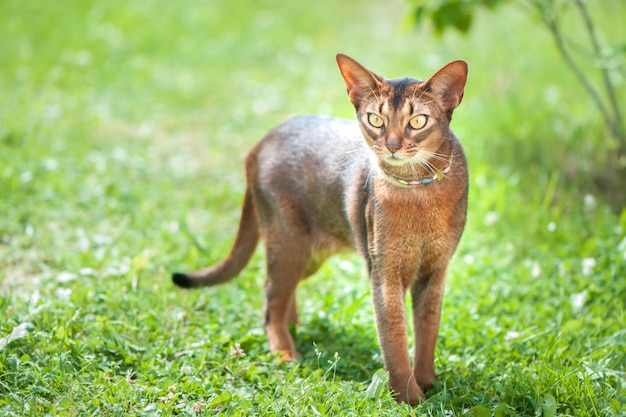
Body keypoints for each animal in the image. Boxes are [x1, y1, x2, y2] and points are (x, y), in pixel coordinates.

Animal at [173, 52, 466, 404]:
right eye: (375, 120)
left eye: (418, 121)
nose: (393, 145)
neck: (417, 190)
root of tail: (263, 141)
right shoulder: (384, 274)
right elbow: (394, 340)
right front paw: (409, 398)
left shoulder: (435, 271)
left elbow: (427, 333)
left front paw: (428, 383)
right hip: (288, 242)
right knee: (270, 299)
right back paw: (286, 352)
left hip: (307, 254)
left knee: (282, 292)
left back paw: (296, 329)